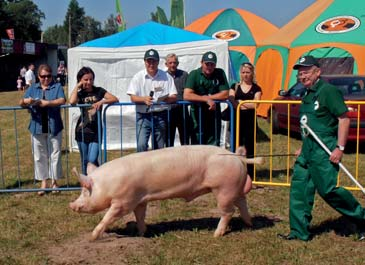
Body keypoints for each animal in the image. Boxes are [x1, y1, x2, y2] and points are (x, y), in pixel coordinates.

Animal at [69, 144, 262, 239]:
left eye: (86, 191)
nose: (71, 205)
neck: (108, 184)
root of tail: (238, 157)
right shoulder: (140, 200)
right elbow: (140, 216)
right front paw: (142, 233)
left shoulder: (123, 202)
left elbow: (108, 217)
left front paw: (92, 237)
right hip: (234, 188)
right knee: (242, 204)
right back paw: (250, 224)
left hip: (223, 189)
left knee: (228, 211)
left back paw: (216, 235)